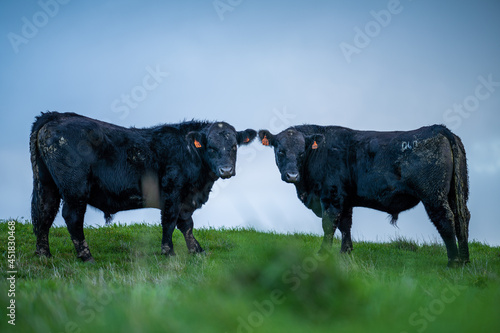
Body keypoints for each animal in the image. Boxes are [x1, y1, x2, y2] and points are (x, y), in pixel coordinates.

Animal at [29, 110, 256, 260]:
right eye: (211, 147)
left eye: (234, 146)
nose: (226, 170)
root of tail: (56, 115)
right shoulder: (172, 192)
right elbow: (170, 221)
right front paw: (168, 252)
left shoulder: (185, 198)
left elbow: (187, 224)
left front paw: (197, 251)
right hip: (75, 188)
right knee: (72, 217)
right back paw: (86, 256)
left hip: (46, 183)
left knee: (44, 213)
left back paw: (43, 254)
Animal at [260, 124, 470, 268]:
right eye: (280, 151)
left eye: (302, 152)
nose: (292, 175)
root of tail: (438, 128)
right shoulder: (345, 200)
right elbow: (345, 225)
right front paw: (345, 252)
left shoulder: (332, 196)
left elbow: (329, 224)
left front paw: (322, 253)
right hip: (456, 192)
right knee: (462, 218)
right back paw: (465, 259)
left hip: (433, 194)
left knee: (445, 219)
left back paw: (453, 261)